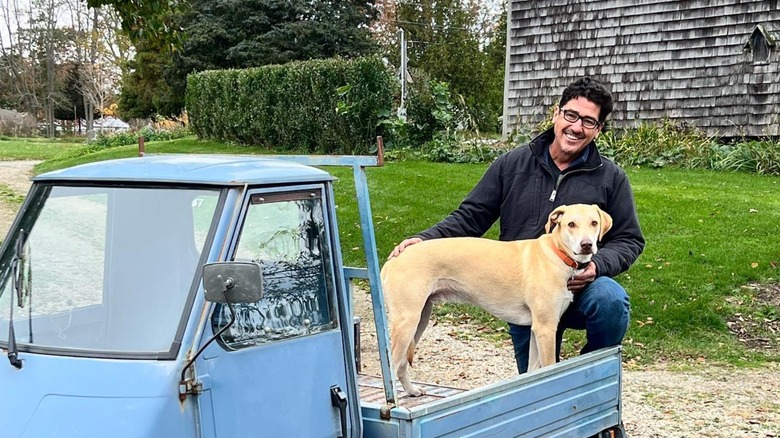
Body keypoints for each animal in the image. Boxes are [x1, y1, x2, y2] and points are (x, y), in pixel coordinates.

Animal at [380, 204, 612, 396]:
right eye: (571, 224)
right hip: (407, 322)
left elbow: (532, 371)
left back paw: (411, 391)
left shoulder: (537, 329)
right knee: (392, 366)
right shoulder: (546, 328)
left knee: (401, 366)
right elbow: (548, 368)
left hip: (420, 319)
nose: (586, 245)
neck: (556, 254)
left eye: (594, 223)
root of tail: (393, 260)